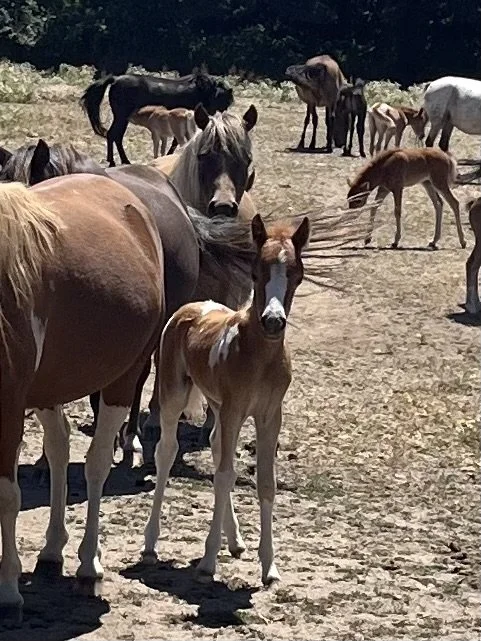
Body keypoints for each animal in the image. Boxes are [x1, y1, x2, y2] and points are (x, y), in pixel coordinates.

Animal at [0, 175, 165, 620]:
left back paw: (89, 566)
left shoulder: (9, 412)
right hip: (49, 387)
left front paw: (8, 592)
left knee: (96, 465)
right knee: (58, 450)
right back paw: (51, 552)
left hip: (123, 379)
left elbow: (7, 496)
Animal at [80, 71, 234, 166]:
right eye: (226, 98)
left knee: (114, 135)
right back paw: (120, 161)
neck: (202, 90)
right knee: (114, 135)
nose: (225, 109)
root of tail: (115, 79)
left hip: (121, 117)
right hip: (122, 117)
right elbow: (176, 142)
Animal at [141, 214, 310, 586]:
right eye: (256, 273)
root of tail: (193, 305)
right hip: (174, 397)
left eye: (296, 274)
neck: (259, 357)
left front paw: (269, 567)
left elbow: (262, 482)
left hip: (218, 408)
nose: (273, 321)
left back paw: (233, 540)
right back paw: (150, 543)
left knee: (218, 448)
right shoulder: (234, 410)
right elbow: (222, 477)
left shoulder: (268, 415)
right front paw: (208, 560)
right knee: (167, 453)